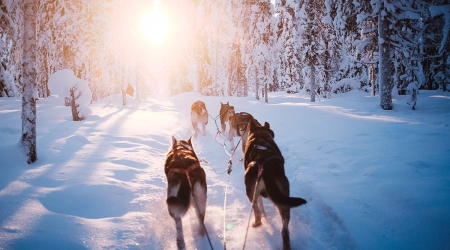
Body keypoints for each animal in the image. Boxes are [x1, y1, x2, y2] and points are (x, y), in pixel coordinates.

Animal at [244, 119, 308, 250]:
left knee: (256, 211)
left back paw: (257, 223)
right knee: (284, 230)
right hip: (283, 198)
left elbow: (261, 207)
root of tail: (266, 166)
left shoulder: (255, 193)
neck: (261, 136)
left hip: (251, 193)